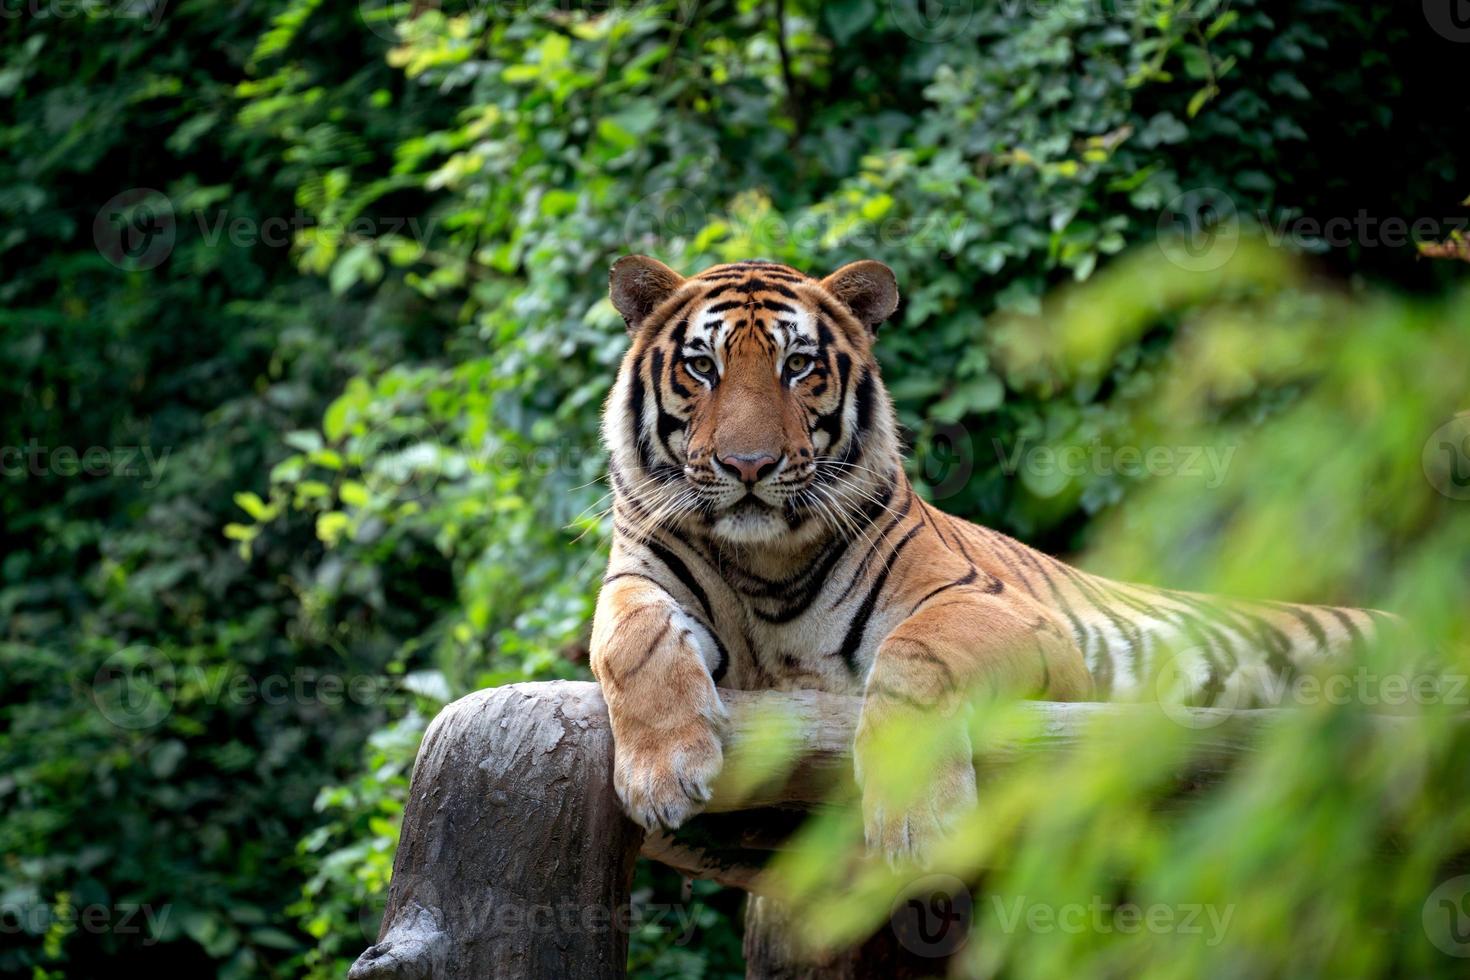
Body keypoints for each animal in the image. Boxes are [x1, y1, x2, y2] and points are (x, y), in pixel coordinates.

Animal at [588, 255, 1387, 863]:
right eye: (702, 367)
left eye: (799, 366)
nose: (749, 466)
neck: (763, 564)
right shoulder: (635, 577)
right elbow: (630, 641)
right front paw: (664, 774)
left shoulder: (1007, 613)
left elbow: (913, 653)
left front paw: (917, 821)